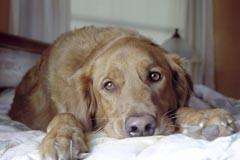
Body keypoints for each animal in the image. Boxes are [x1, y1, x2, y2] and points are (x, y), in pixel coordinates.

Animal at [8, 26, 235, 159]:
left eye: (155, 76)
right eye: (108, 85)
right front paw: (61, 137)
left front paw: (203, 116)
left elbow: (180, 108)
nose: (141, 126)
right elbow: (66, 115)